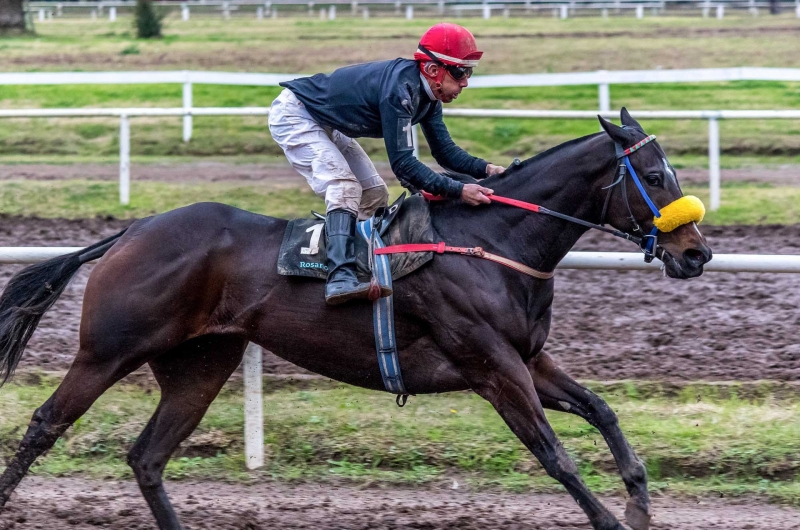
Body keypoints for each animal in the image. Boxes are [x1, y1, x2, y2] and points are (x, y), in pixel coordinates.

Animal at [0, 109, 712, 524]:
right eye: (655, 175)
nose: (696, 253)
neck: (493, 242)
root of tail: (130, 232)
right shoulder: (492, 365)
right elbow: (553, 452)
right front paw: (613, 517)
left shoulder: (527, 356)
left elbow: (601, 409)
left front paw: (640, 499)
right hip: (108, 350)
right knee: (44, 425)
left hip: (201, 363)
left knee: (148, 457)